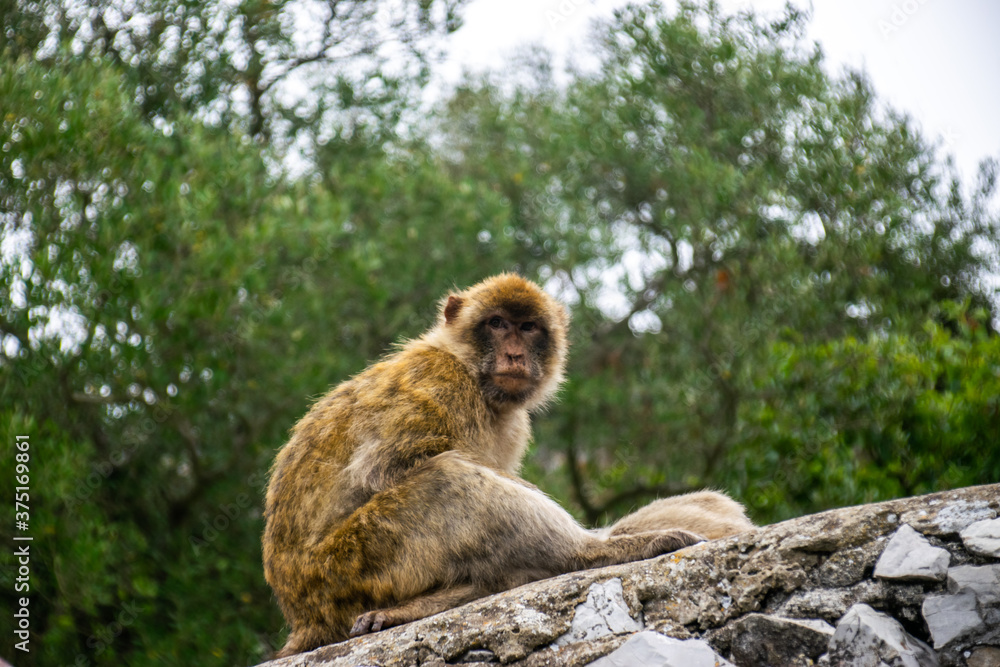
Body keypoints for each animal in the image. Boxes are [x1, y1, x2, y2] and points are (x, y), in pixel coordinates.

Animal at [262, 272, 752, 656]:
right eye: (497, 324)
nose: (515, 354)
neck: (471, 374)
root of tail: (304, 618)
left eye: (528, 327)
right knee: (448, 478)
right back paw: (592, 551)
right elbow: (384, 470)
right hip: (353, 565)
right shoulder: (438, 384)